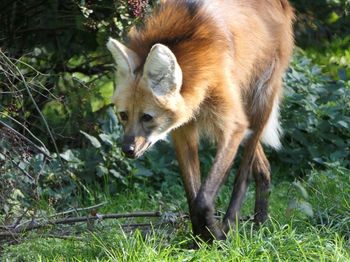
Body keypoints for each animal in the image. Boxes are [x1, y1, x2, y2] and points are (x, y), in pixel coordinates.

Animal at [108, 0, 294, 242]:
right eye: (123, 115)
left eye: (146, 117)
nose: (127, 150)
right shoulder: (184, 128)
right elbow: (192, 192)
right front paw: (200, 239)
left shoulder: (233, 125)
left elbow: (204, 196)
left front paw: (217, 237)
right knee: (263, 167)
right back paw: (259, 222)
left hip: (259, 100)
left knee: (244, 173)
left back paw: (238, 225)